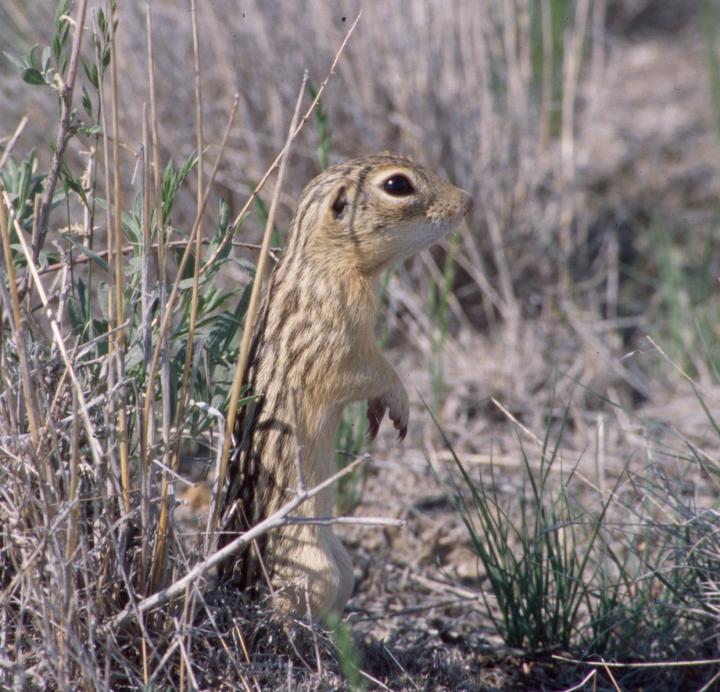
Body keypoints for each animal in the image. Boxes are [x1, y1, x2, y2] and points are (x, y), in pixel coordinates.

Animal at [219, 153, 472, 620]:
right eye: (397, 185)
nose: (467, 200)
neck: (318, 264)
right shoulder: (336, 347)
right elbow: (373, 372)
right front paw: (398, 401)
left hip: (345, 568)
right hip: (316, 574)